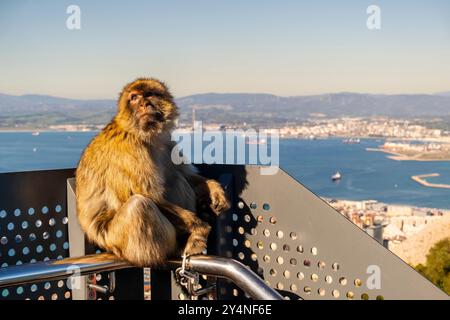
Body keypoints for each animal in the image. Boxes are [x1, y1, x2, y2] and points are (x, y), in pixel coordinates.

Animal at [75, 78, 230, 268]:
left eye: (149, 94)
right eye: (134, 98)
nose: (144, 104)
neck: (144, 135)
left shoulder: (167, 144)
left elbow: (185, 175)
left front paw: (215, 189)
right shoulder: (129, 149)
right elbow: (148, 194)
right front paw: (200, 227)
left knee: (176, 179)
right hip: (120, 242)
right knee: (139, 205)